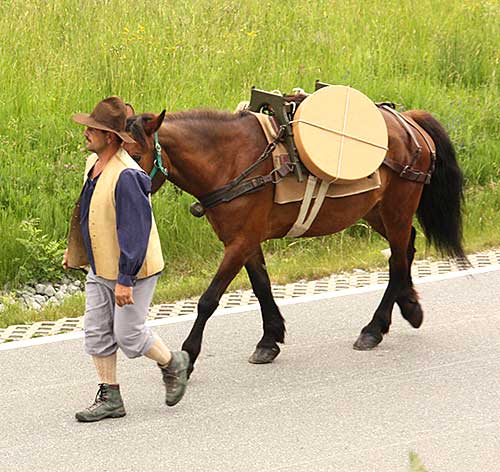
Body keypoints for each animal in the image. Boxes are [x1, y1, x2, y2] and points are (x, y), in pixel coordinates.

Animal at [124, 104, 464, 376]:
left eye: (137, 154)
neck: (229, 160)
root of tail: (409, 121)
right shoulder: (246, 241)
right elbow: (262, 287)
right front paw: (269, 340)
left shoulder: (240, 242)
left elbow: (209, 300)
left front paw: (188, 355)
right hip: (376, 211)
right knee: (406, 249)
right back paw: (409, 307)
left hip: (397, 208)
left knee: (397, 260)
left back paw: (374, 329)